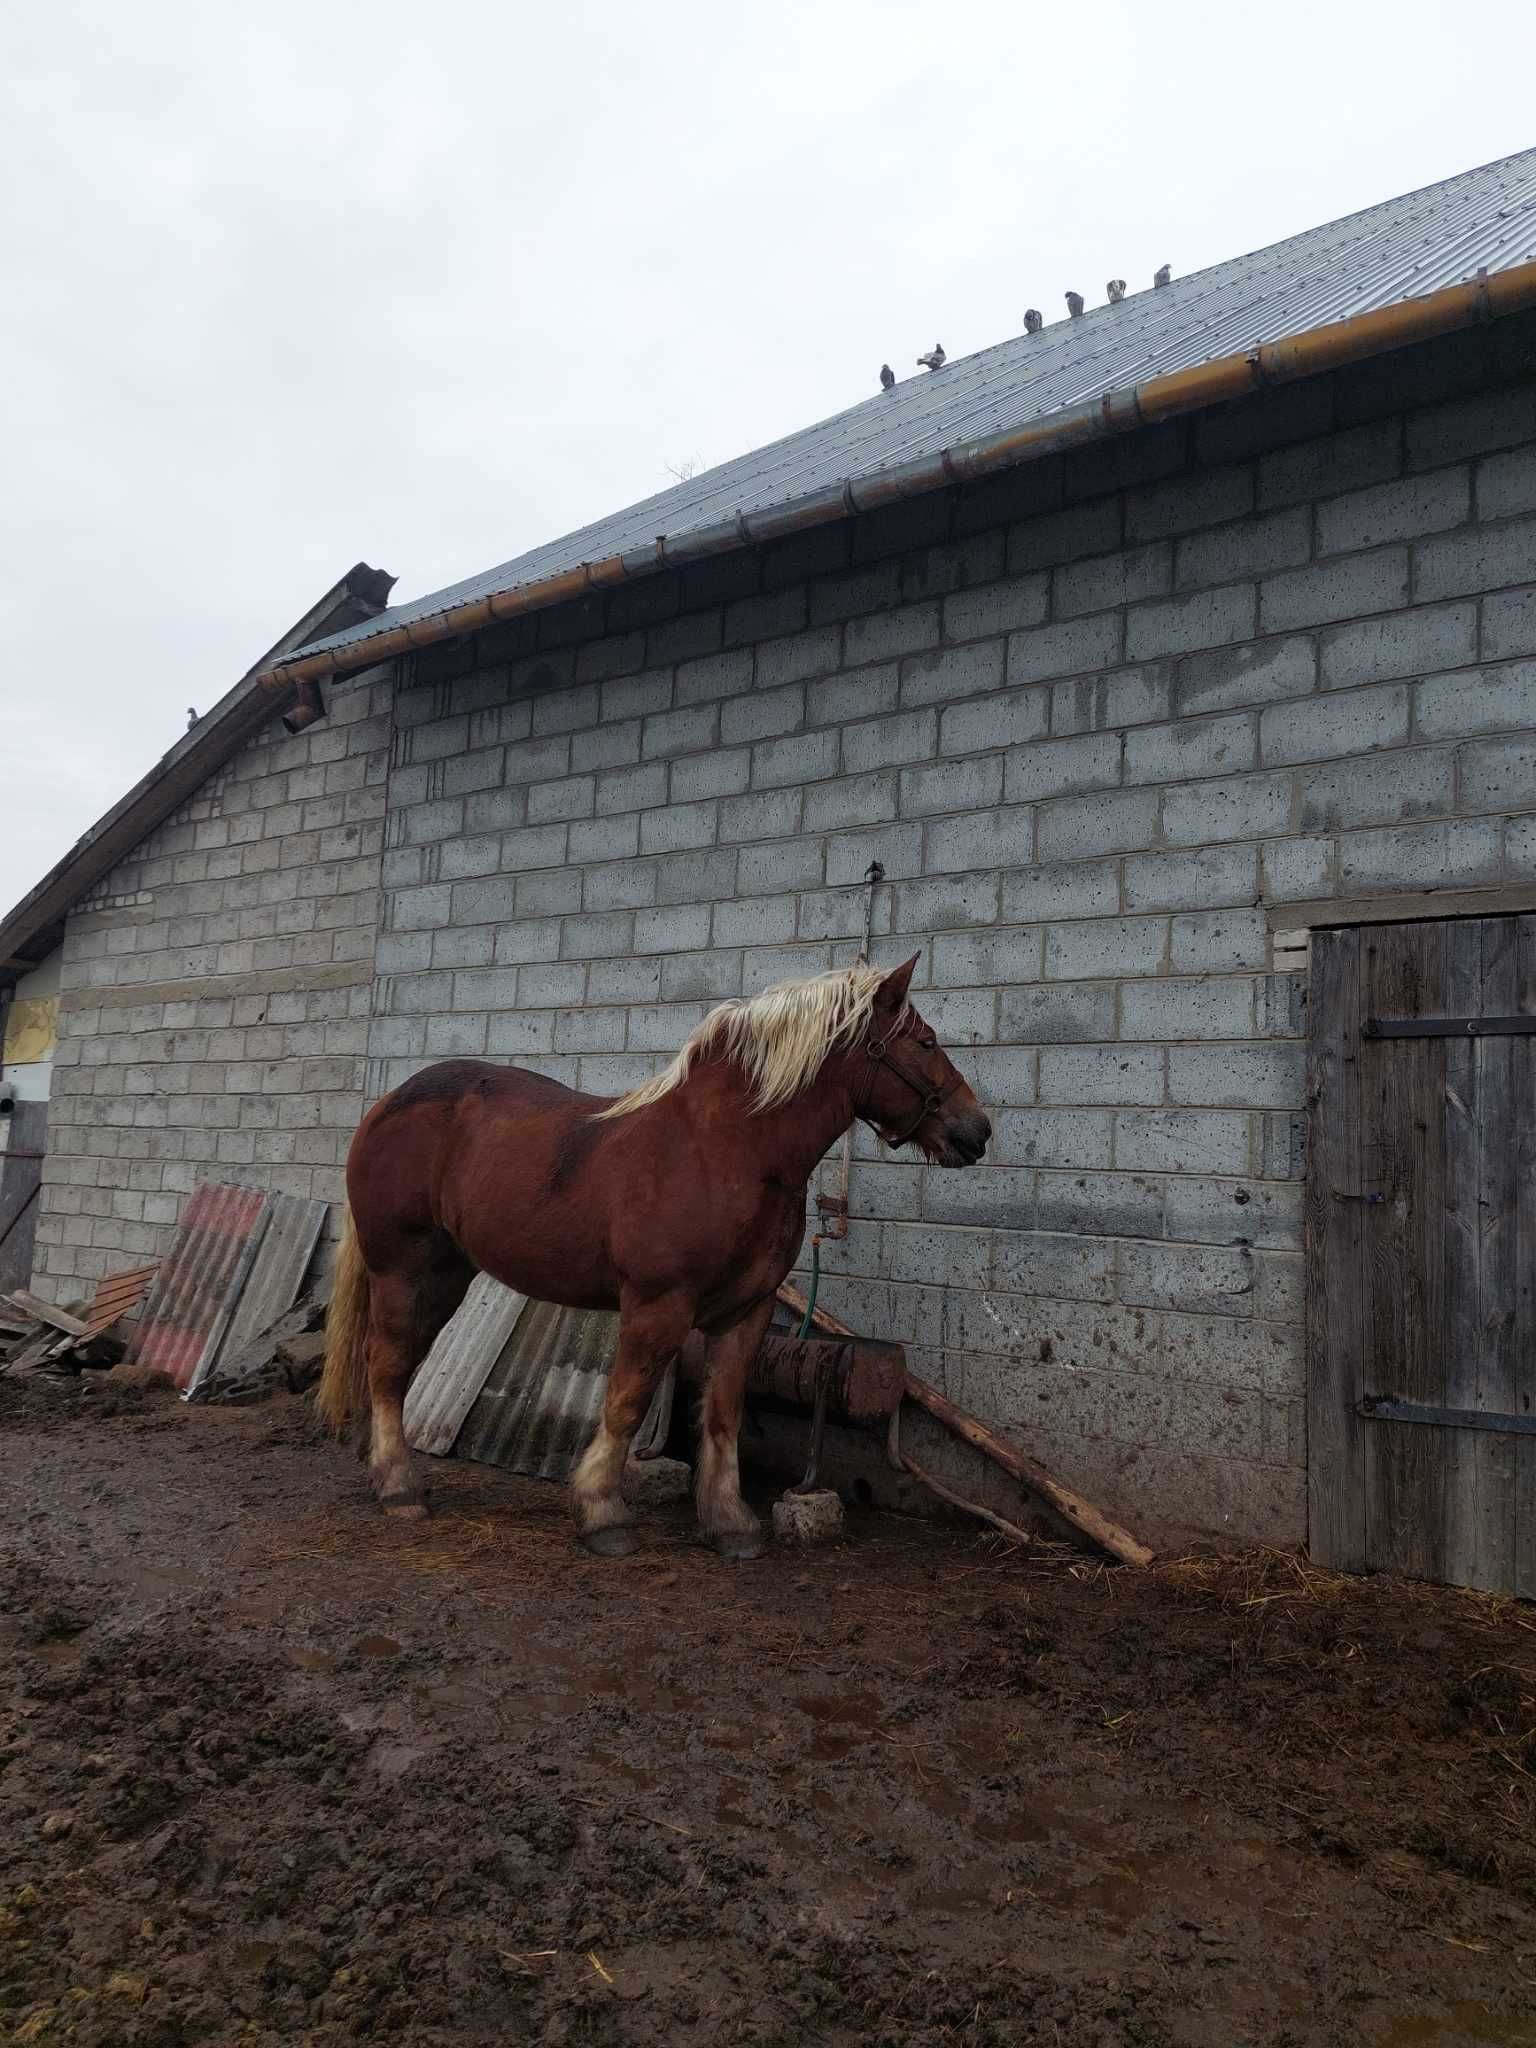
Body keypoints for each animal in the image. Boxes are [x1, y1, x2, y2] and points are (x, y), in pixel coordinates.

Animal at [319, 950, 991, 1556]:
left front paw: (729, 1523)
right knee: (387, 1365)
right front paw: (601, 1512)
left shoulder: (744, 1313)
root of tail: (387, 1105)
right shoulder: (657, 1304)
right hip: (402, 1267)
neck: (727, 1150)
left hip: (447, 1273)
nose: (977, 1130)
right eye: (926, 1043)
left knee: (400, 1366)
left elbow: (722, 1412)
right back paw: (400, 1488)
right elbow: (626, 1402)